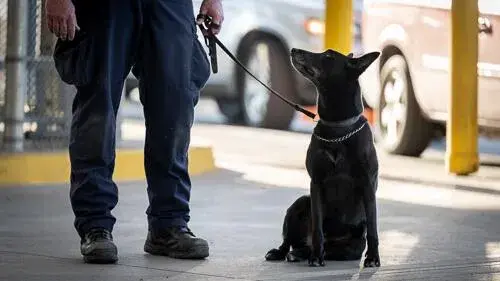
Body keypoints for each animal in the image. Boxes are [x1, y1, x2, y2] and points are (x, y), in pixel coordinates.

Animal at [268, 47, 380, 266]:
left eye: (328, 56)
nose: (293, 50)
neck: (337, 129)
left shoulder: (367, 184)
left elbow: (373, 226)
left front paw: (373, 257)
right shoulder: (316, 183)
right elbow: (317, 227)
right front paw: (316, 257)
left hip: (353, 246)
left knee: (336, 250)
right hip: (300, 203)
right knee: (289, 242)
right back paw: (290, 252)